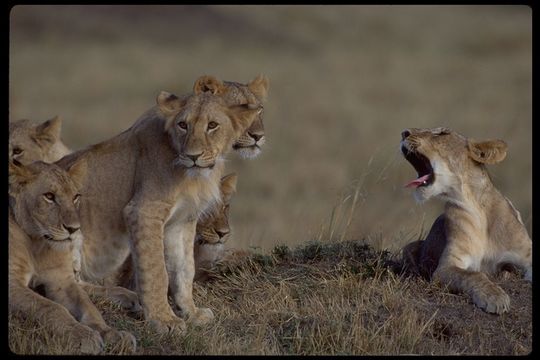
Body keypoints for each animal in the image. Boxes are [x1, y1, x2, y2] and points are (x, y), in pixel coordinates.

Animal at [8, 161, 136, 354]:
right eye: (49, 196)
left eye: (75, 197)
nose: (74, 229)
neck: (37, 243)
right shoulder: (12, 283)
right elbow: (51, 307)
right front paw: (82, 336)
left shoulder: (62, 280)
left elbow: (89, 306)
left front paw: (111, 334)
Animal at [56, 74, 268, 334]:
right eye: (183, 125)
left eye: (212, 125)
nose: (258, 136)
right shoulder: (143, 211)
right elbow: (157, 270)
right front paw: (163, 320)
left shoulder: (183, 220)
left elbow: (184, 269)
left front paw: (191, 313)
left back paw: (127, 296)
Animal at [400, 128, 532, 314]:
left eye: (442, 133)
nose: (404, 132)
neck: (475, 205)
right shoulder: (446, 267)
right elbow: (474, 275)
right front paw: (495, 297)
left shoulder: (526, 254)